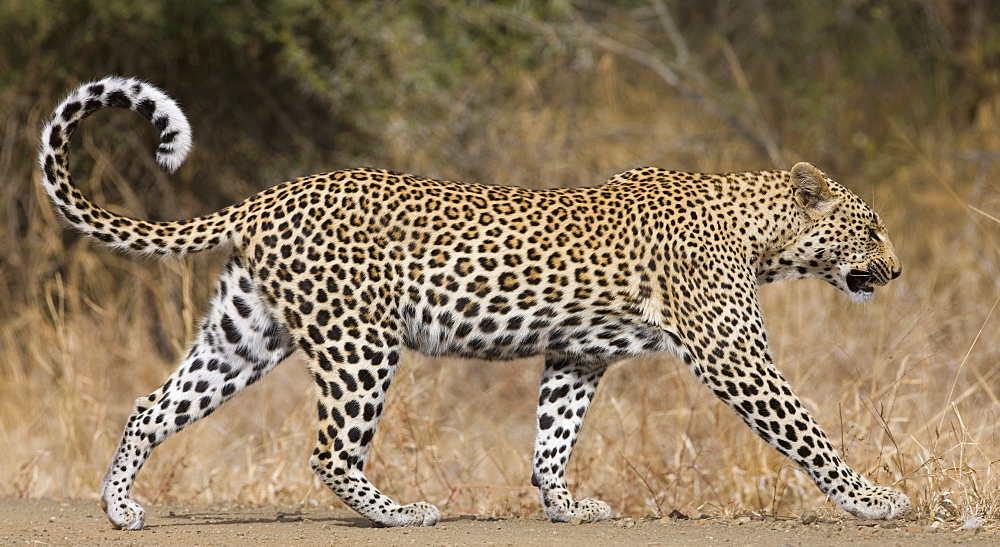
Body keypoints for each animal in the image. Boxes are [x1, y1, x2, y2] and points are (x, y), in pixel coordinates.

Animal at [39, 77, 912, 532]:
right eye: (870, 226)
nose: (899, 270)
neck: (762, 234)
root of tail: (265, 198)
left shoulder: (576, 352)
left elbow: (553, 436)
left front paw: (565, 504)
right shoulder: (734, 353)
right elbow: (807, 430)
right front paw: (874, 499)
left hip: (244, 333)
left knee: (150, 405)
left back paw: (120, 507)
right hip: (360, 342)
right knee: (328, 449)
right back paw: (399, 512)